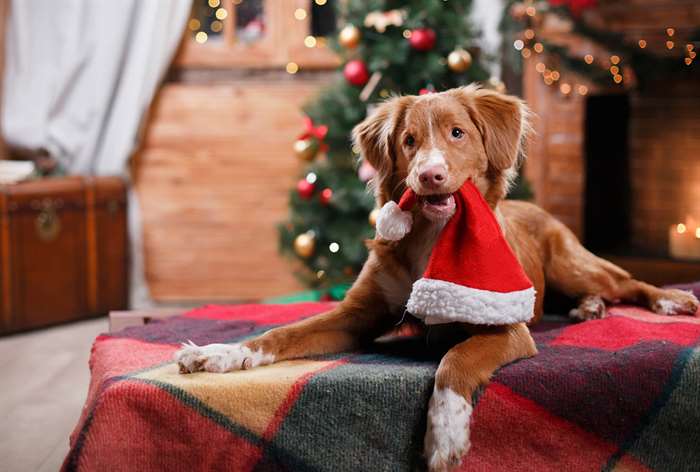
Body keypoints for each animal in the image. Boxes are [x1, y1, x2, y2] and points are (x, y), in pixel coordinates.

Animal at [176, 85, 700, 472]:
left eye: (457, 133)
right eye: (408, 141)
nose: (429, 176)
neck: (431, 239)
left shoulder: (507, 328)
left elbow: (454, 361)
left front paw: (446, 433)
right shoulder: (355, 315)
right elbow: (280, 333)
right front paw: (220, 354)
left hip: (572, 263)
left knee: (626, 283)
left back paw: (667, 301)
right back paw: (588, 307)